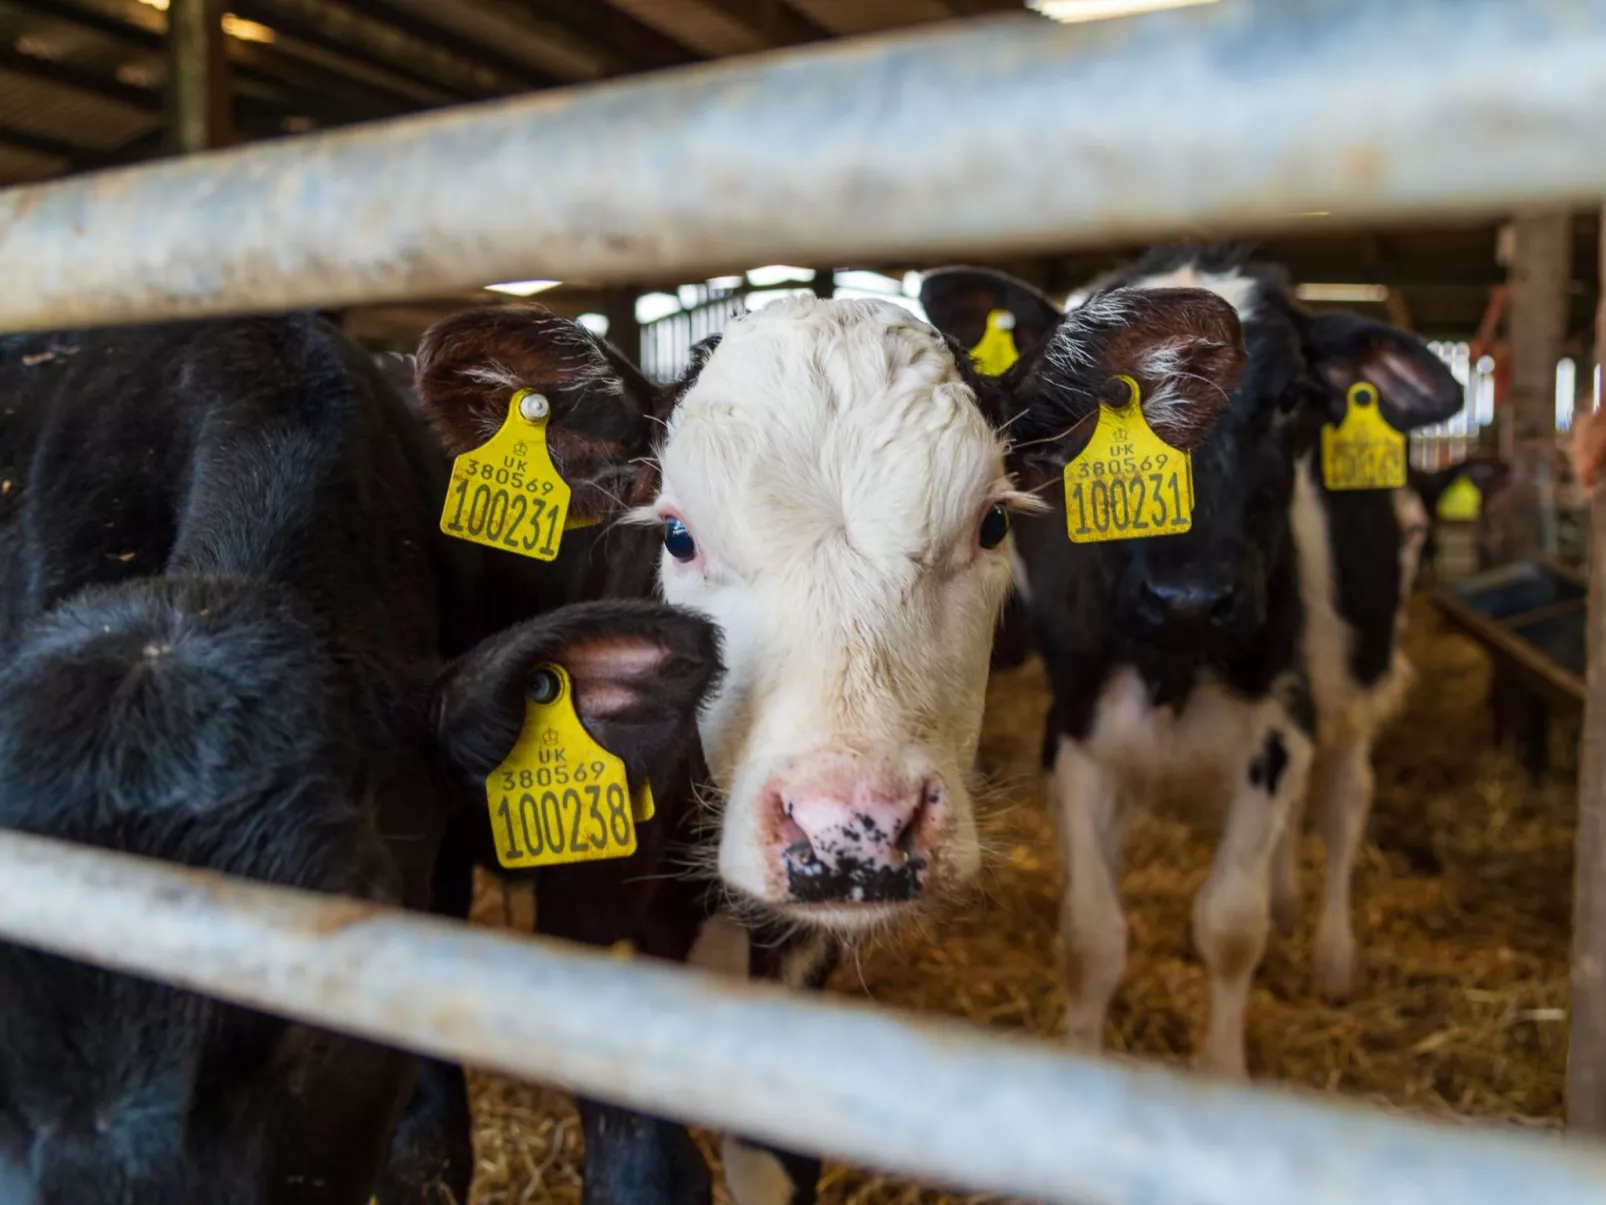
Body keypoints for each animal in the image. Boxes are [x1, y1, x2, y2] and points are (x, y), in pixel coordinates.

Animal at [918, 250, 1471, 1079]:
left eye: (1290, 400)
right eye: (1108, 399)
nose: (1190, 596)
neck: (1173, 666)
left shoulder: (1279, 732)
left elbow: (1231, 923)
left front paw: (1221, 1071)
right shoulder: (1075, 733)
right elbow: (1091, 938)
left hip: (1354, 685)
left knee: (1344, 803)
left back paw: (1333, 954)